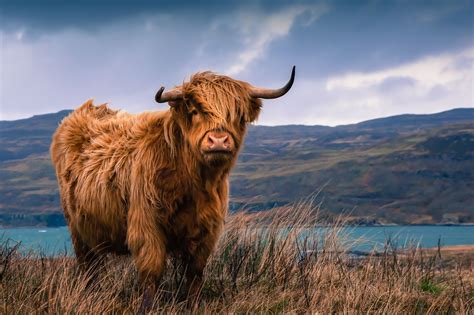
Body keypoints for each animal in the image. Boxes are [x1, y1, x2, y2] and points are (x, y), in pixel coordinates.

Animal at [50, 67, 294, 312]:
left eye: (239, 115)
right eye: (195, 111)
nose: (218, 141)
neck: (194, 183)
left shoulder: (207, 231)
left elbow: (194, 274)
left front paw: (193, 306)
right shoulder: (147, 226)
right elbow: (151, 273)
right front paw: (147, 308)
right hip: (78, 229)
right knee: (88, 267)